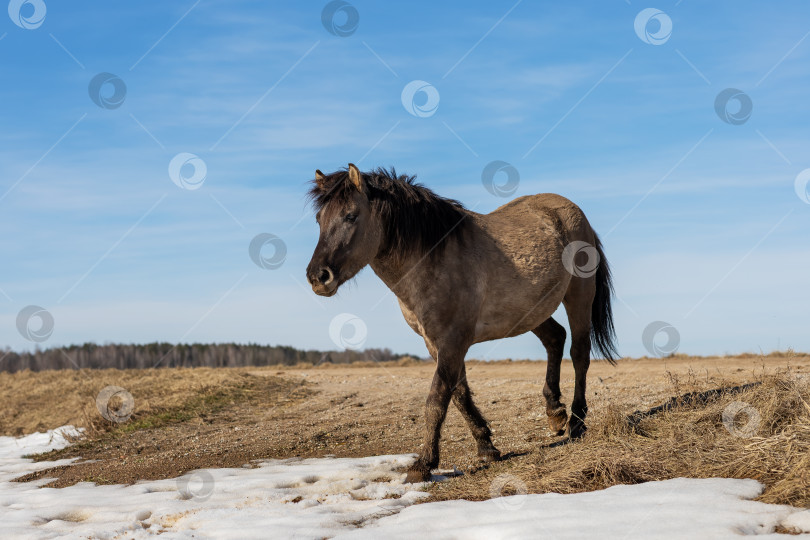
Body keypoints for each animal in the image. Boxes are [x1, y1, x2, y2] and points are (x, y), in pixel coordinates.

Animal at [306, 164, 618, 482]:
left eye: (351, 216)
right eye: (319, 219)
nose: (318, 277)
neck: (431, 258)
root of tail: (572, 211)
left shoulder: (453, 340)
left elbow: (437, 399)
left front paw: (423, 464)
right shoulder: (437, 343)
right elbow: (459, 393)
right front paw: (486, 447)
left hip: (579, 296)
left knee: (579, 354)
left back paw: (577, 422)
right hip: (531, 311)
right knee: (555, 338)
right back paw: (555, 414)